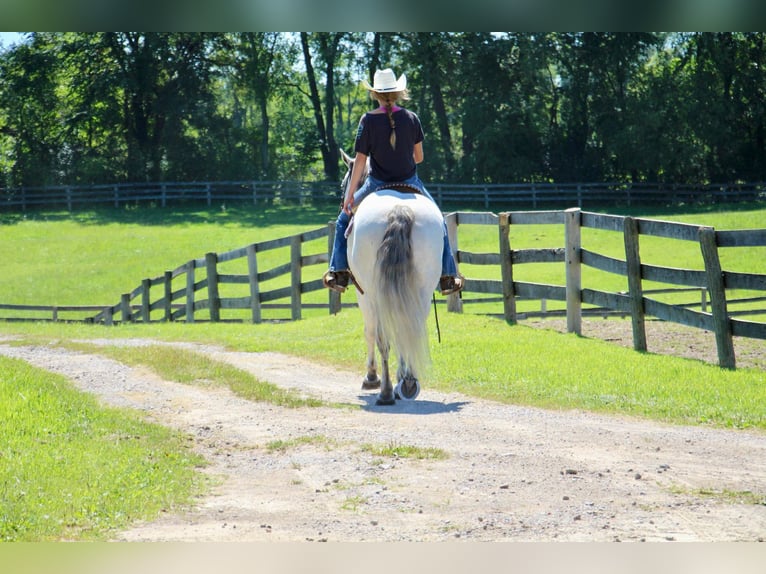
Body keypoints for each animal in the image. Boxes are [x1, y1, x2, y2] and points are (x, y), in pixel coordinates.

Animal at [340, 151, 444, 408]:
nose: (344, 204)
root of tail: (400, 210)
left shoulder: (363, 294)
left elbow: (369, 332)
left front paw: (371, 377)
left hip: (374, 295)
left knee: (382, 337)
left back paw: (386, 391)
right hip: (421, 292)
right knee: (408, 328)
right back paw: (407, 383)